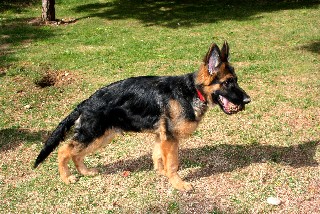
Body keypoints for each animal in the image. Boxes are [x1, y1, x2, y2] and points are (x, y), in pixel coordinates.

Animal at [34, 41, 250, 191]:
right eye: (228, 82)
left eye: (236, 80)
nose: (248, 100)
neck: (191, 91)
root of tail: (85, 103)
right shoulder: (170, 139)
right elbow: (173, 164)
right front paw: (178, 184)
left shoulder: (161, 137)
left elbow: (158, 156)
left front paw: (161, 173)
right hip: (93, 134)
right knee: (64, 150)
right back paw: (66, 178)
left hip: (101, 137)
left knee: (76, 153)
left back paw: (86, 172)